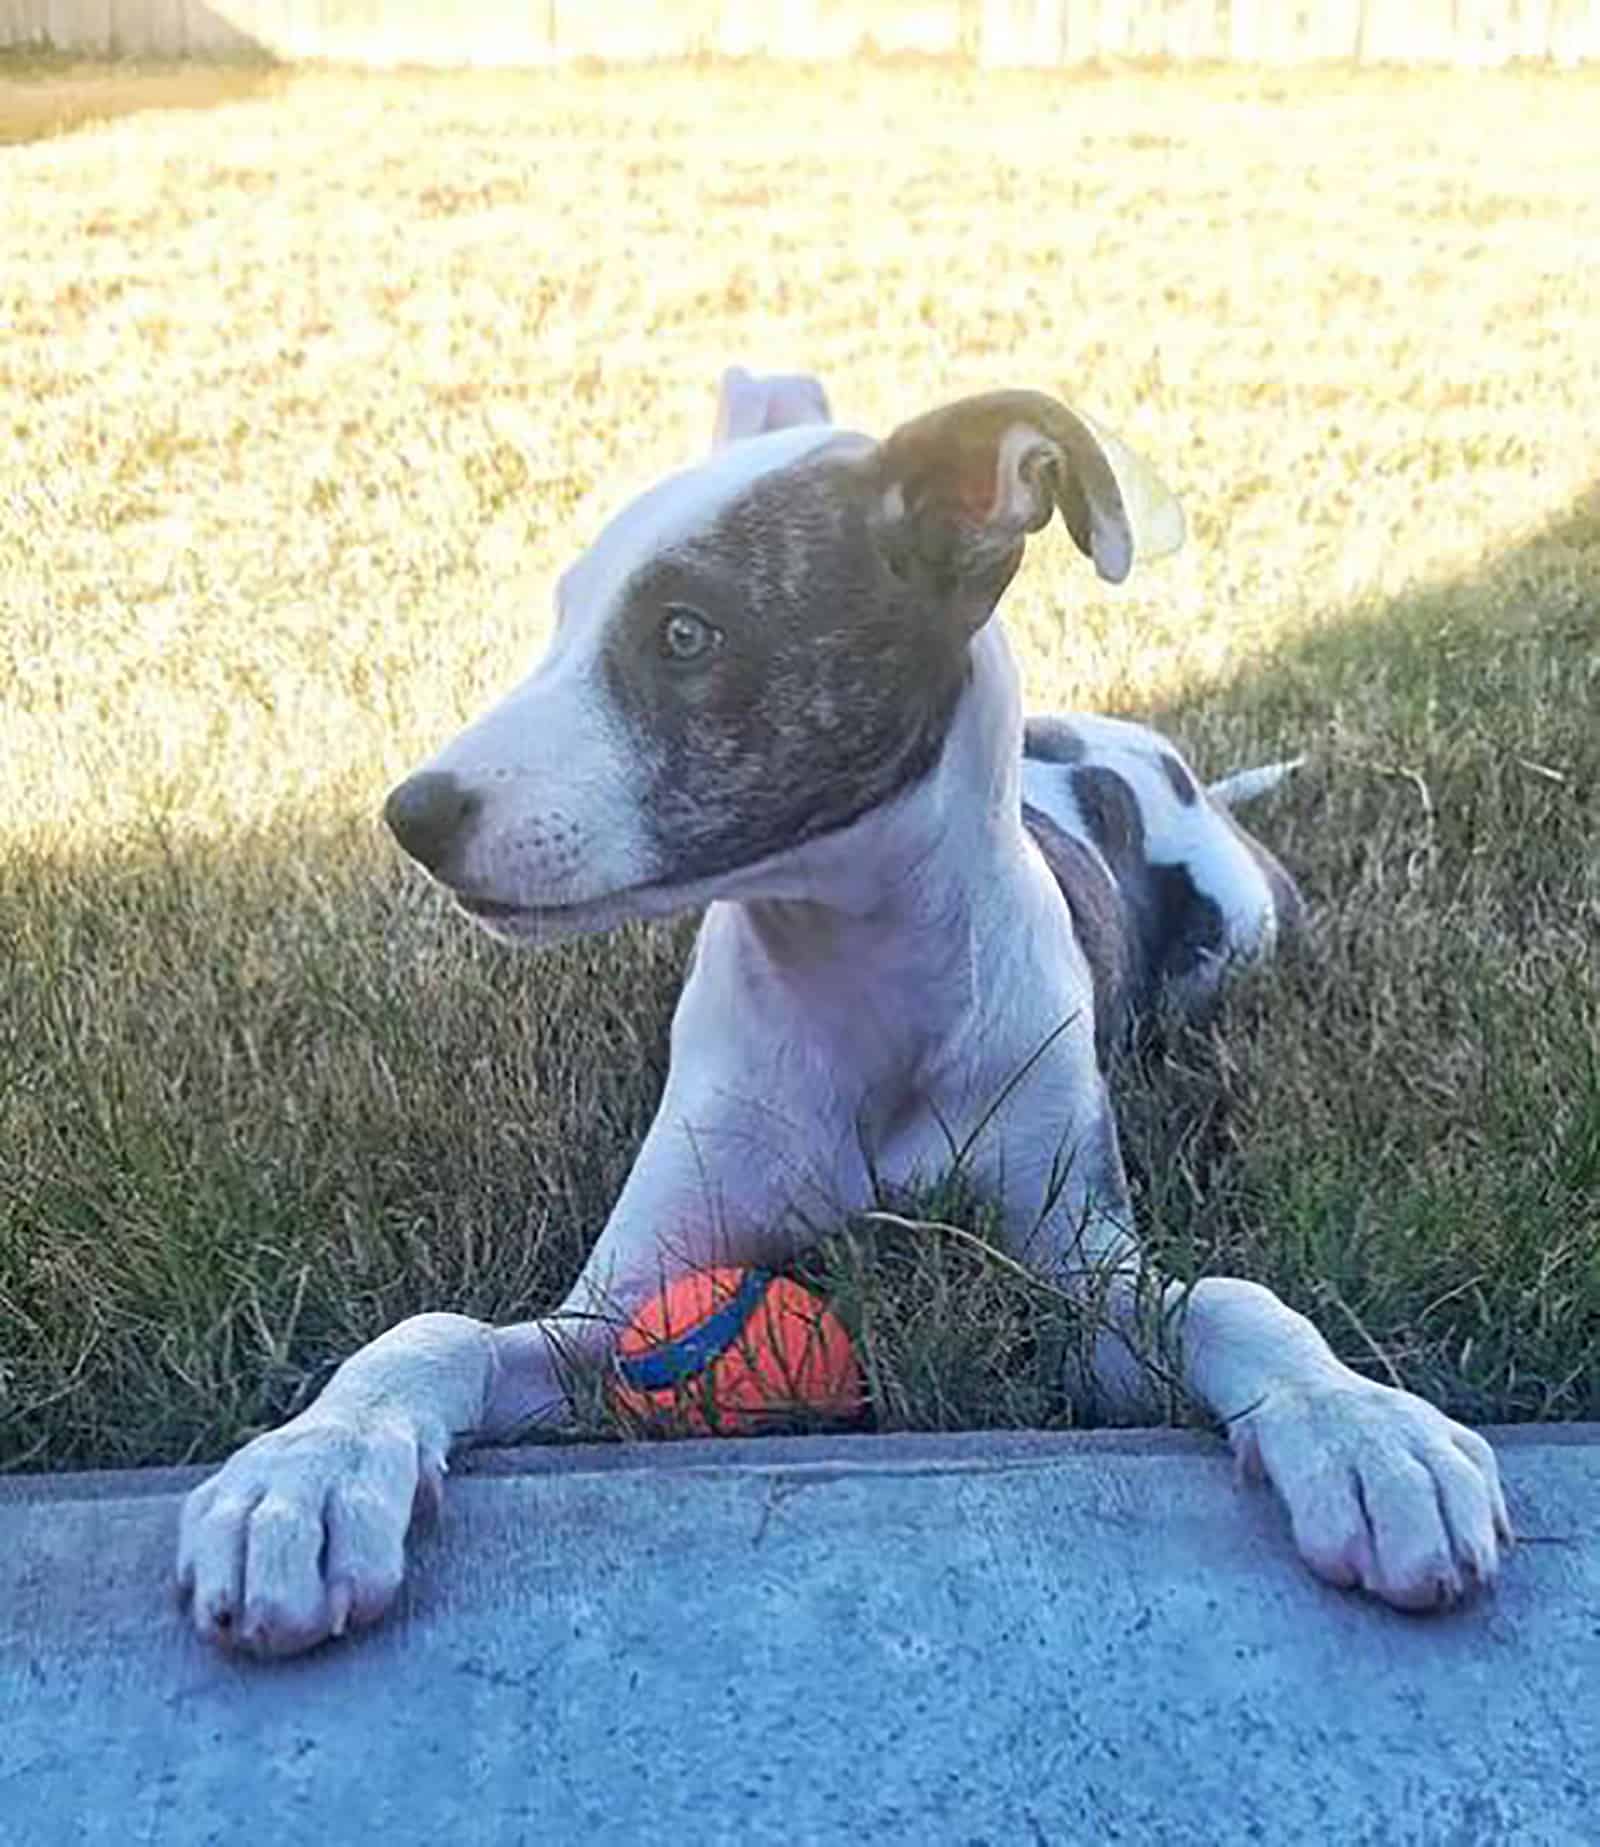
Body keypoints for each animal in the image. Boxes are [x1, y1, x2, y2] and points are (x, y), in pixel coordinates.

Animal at [177, 367, 1507, 1654]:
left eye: (685, 631)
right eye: (564, 612)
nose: (410, 814)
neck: (858, 987)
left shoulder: (1085, 1290)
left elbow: (1234, 1297)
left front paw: (1365, 1428)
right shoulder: (611, 1316)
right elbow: (433, 1328)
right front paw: (303, 1478)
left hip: (1239, 934)